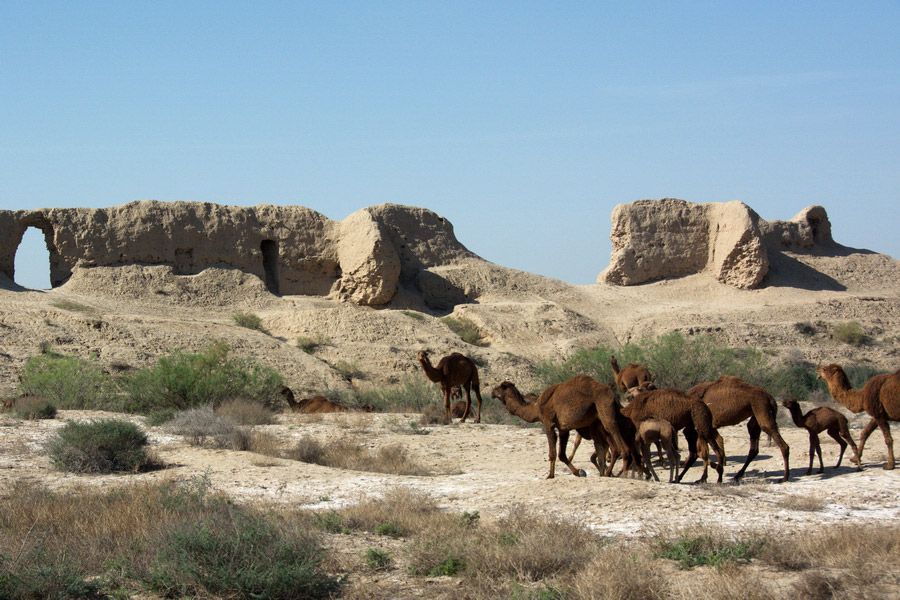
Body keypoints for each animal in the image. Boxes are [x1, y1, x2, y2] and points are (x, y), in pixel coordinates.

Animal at [486, 378, 640, 480]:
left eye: (499, 387)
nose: (492, 392)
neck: (536, 408)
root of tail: (614, 396)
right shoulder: (563, 428)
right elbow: (562, 454)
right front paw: (578, 472)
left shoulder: (548, 423)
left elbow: (553, 453)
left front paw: (550, 475)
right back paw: (610, 473)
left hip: (604, 409)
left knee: (618, 442)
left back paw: (620, 474)